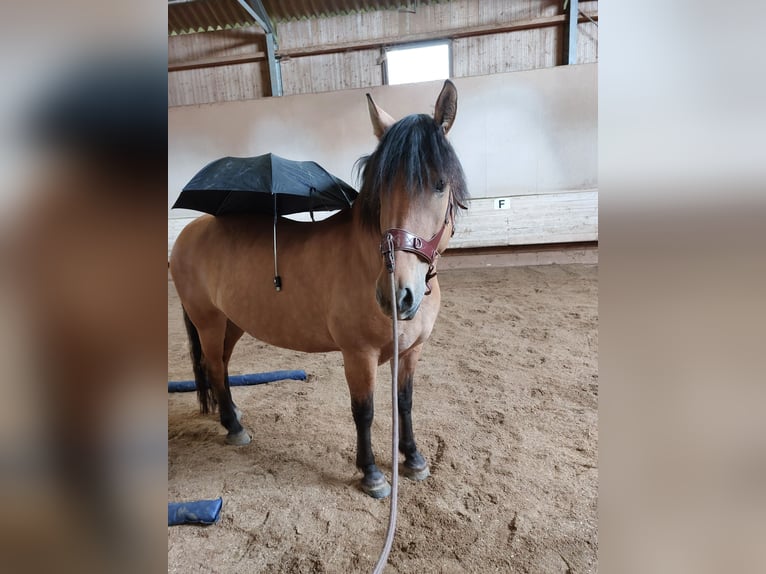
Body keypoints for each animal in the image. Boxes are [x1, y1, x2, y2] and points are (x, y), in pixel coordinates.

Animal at [169, 80, 469, 498]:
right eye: (380, 191)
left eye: (440, 185)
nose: (397, 295)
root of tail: (188, 232)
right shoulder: (358, 354)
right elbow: (365, 410)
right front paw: (372, 474)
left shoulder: (410, 351)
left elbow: (405, 403)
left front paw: (414, 459)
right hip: (208, 322)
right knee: (213, 364)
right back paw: (235, 428)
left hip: (232, 322)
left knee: (222, 367)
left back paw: (232, 414)